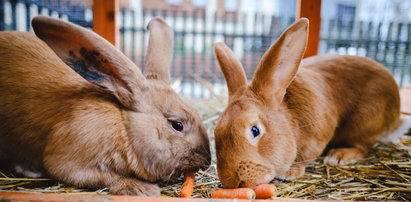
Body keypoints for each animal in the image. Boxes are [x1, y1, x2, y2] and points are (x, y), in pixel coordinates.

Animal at [0, 16, 211, 196]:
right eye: (177, 125)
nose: (207, 162)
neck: (124, 128)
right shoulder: (68, 163)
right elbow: (105, 177)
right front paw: (143, 189)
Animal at [214, 18, 408, 189]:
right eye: (216, 131)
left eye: (255, 130)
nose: (233, 182)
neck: (290, 120)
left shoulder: (318, 135)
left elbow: (306, 156)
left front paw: (290, 172)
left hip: (364, 121)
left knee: (363, 145)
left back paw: (339, 156)